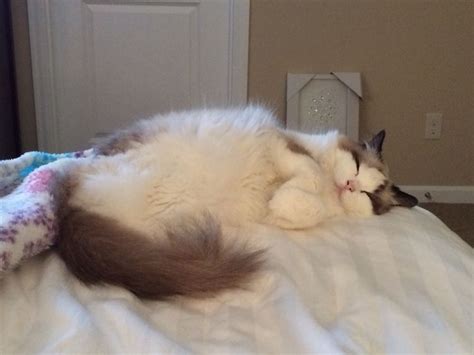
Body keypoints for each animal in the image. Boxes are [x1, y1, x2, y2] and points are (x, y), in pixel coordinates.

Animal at [57, 105, 416, 300]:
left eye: (368, 195)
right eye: (355, 165)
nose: (350, 184)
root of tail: (66, 214)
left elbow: (302, 208)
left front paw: (281, 201)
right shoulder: (281, 142)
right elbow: (309, 171)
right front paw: (290, 190)